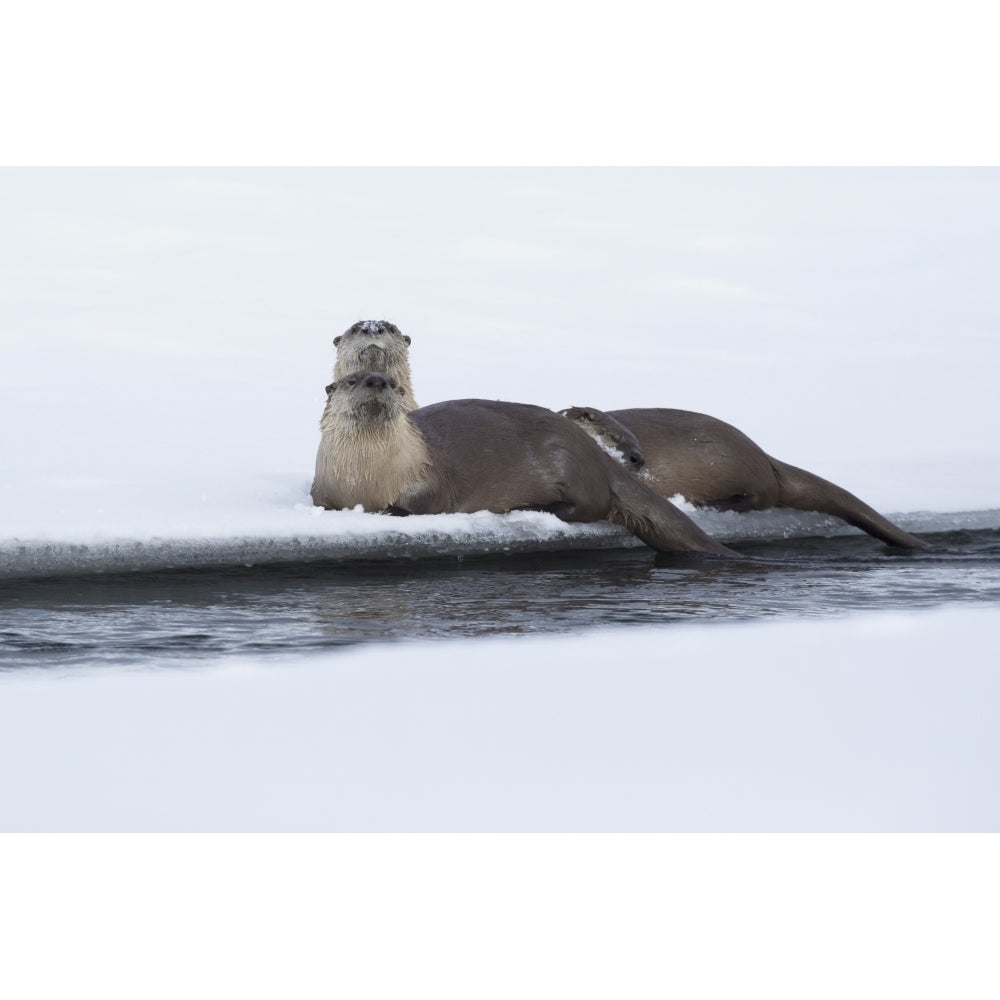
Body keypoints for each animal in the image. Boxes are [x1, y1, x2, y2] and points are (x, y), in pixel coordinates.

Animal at [308, 370, 740, 560]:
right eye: (352, 380)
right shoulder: (323, 485)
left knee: (591, 507)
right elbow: (321, 503)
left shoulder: (429, 480)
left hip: (567, 461)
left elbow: (419, 505)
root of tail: (596, 453)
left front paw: (388, 511)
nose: (378, 381)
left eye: (394, 385)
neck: (365, 477)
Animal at [560, 404, 924, 552]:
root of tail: (763, 455)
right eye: (613, 437)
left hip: (739, 465)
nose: (638, 459)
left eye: (630, 441)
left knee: (762, 496)